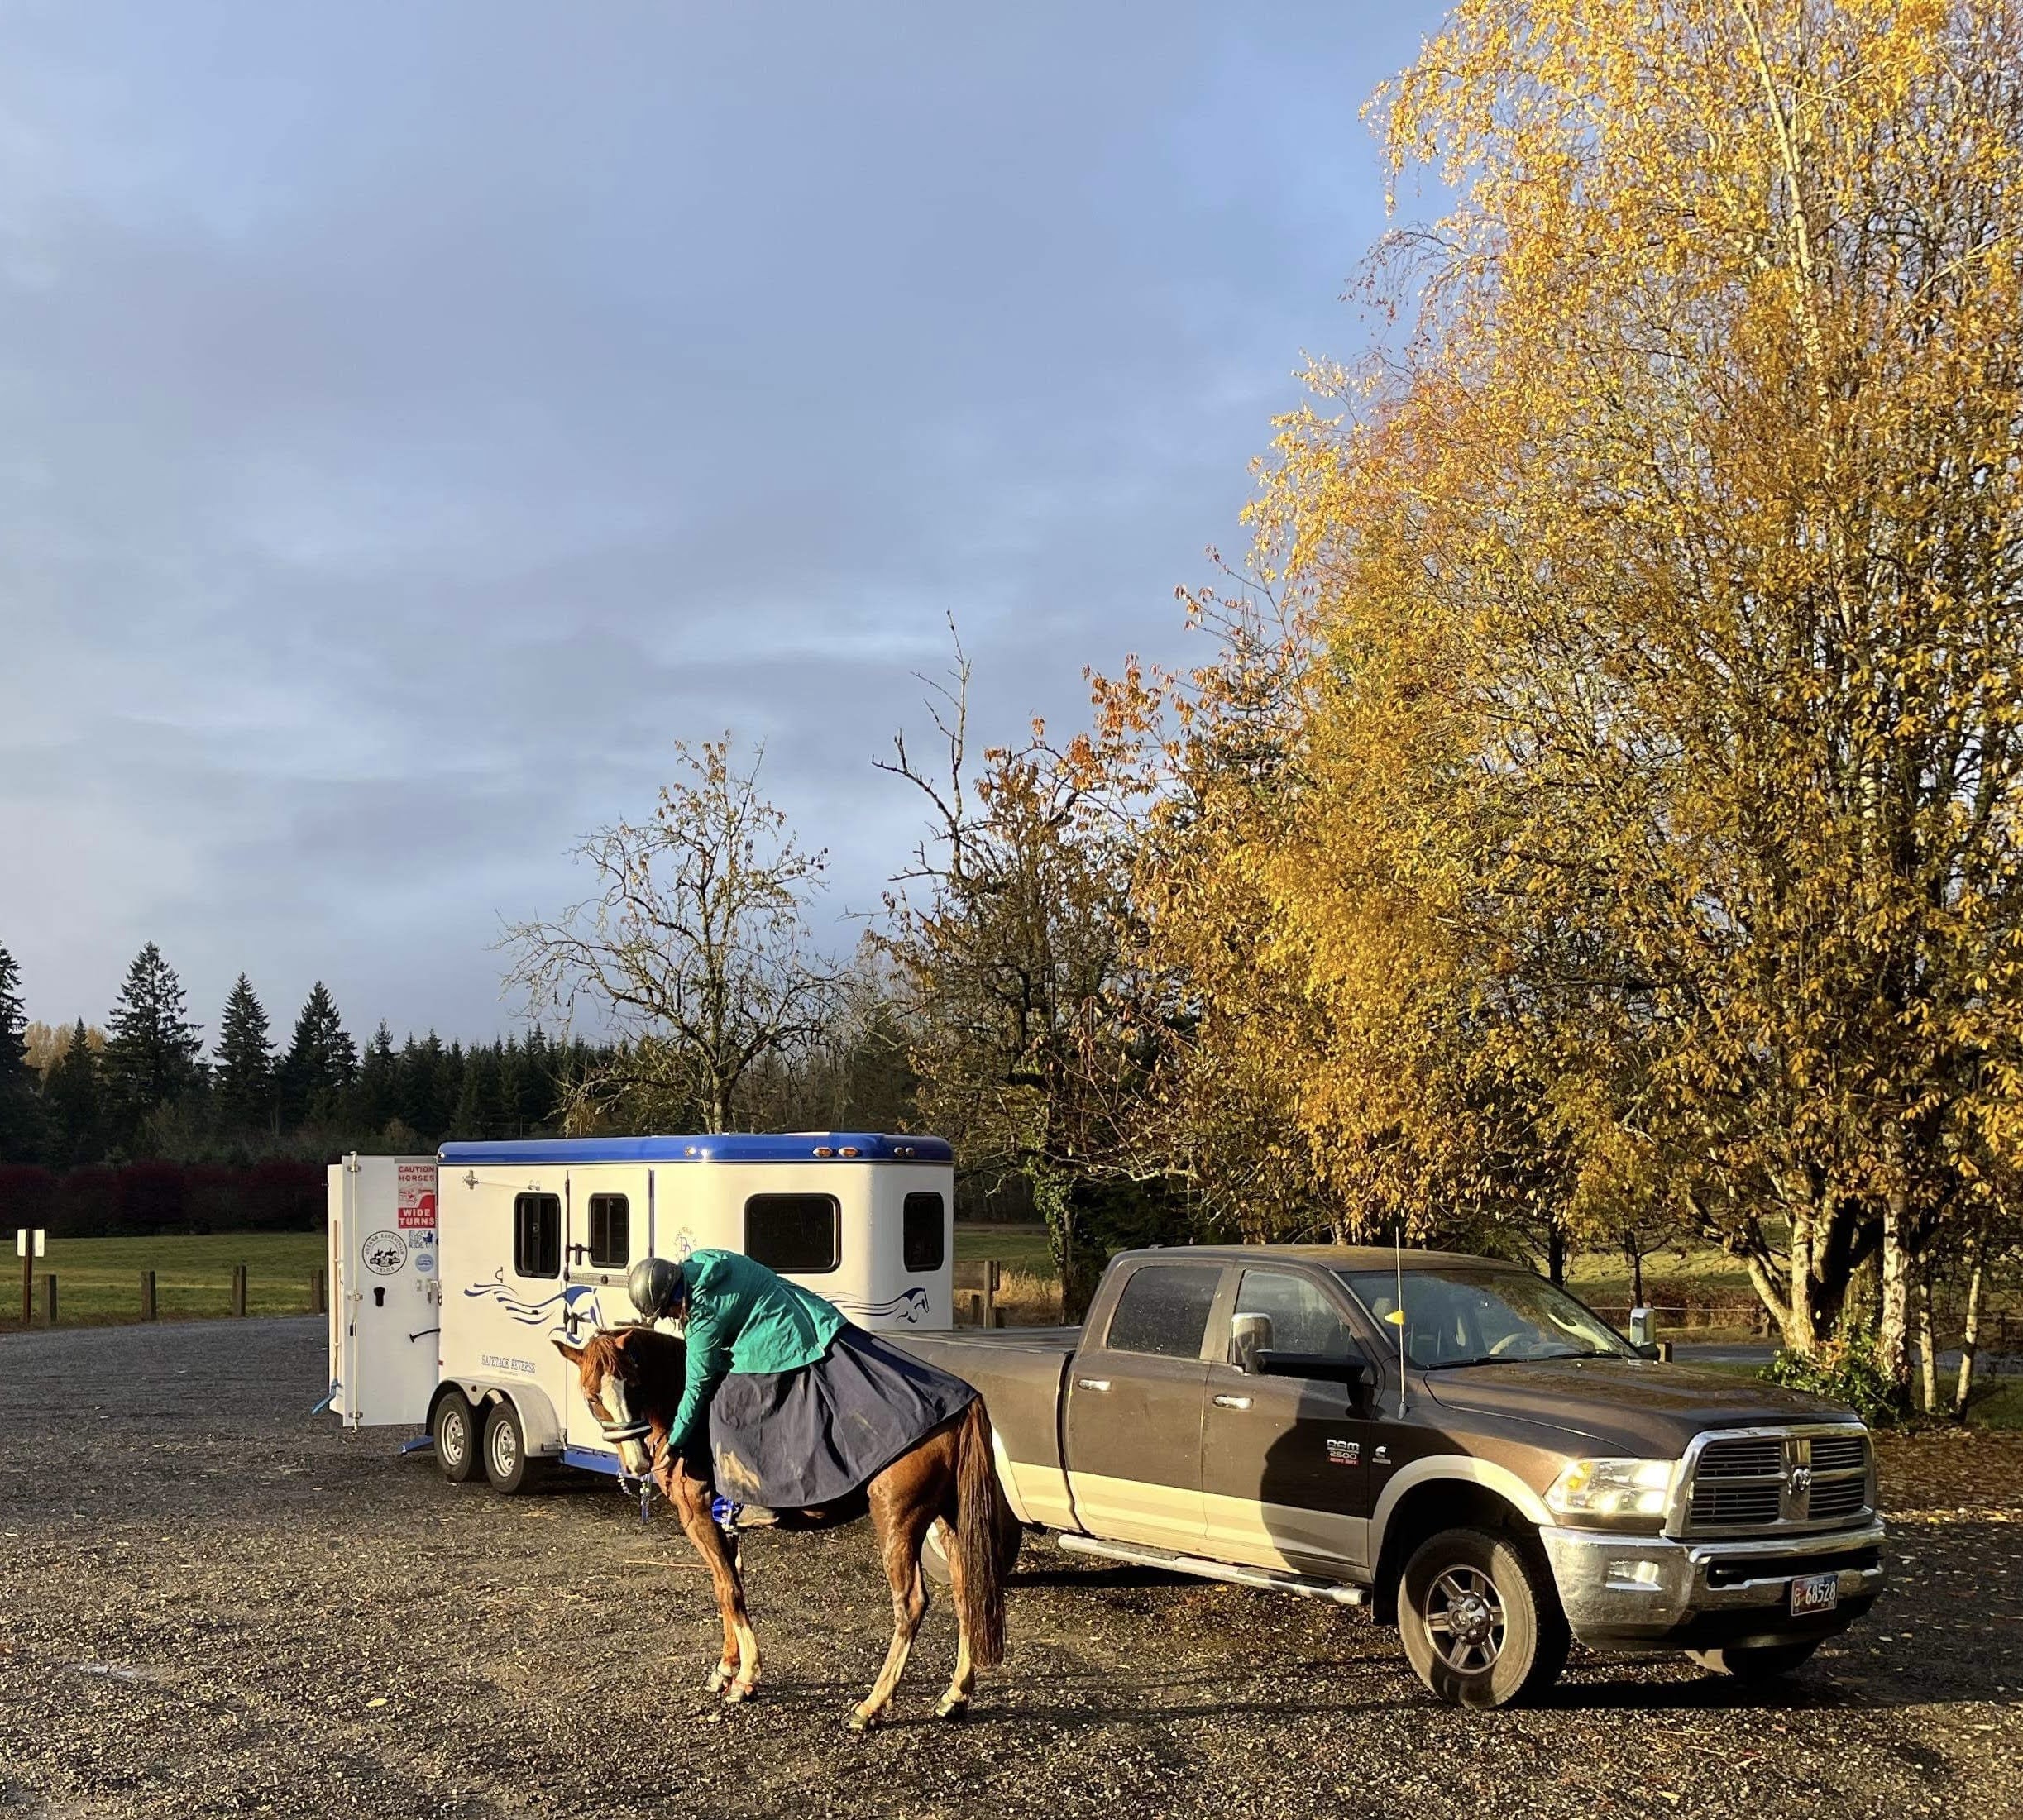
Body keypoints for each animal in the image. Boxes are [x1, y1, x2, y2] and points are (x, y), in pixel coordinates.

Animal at [554, 1318, 1012, 1722]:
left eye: (633, 1386)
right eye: (592, 1397)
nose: (637, 1463)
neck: (688, 1409)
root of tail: (959, 1404)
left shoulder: (698, 1519)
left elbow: (729, 1592)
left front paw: (746, 1678)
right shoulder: (723, 1526)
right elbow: (728, 1587)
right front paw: (727, 1667)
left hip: (898, 1523)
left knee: (911, 1606)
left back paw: (871, 1706)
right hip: (949, 1523)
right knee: (966, 1593)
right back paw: (954, 1695)